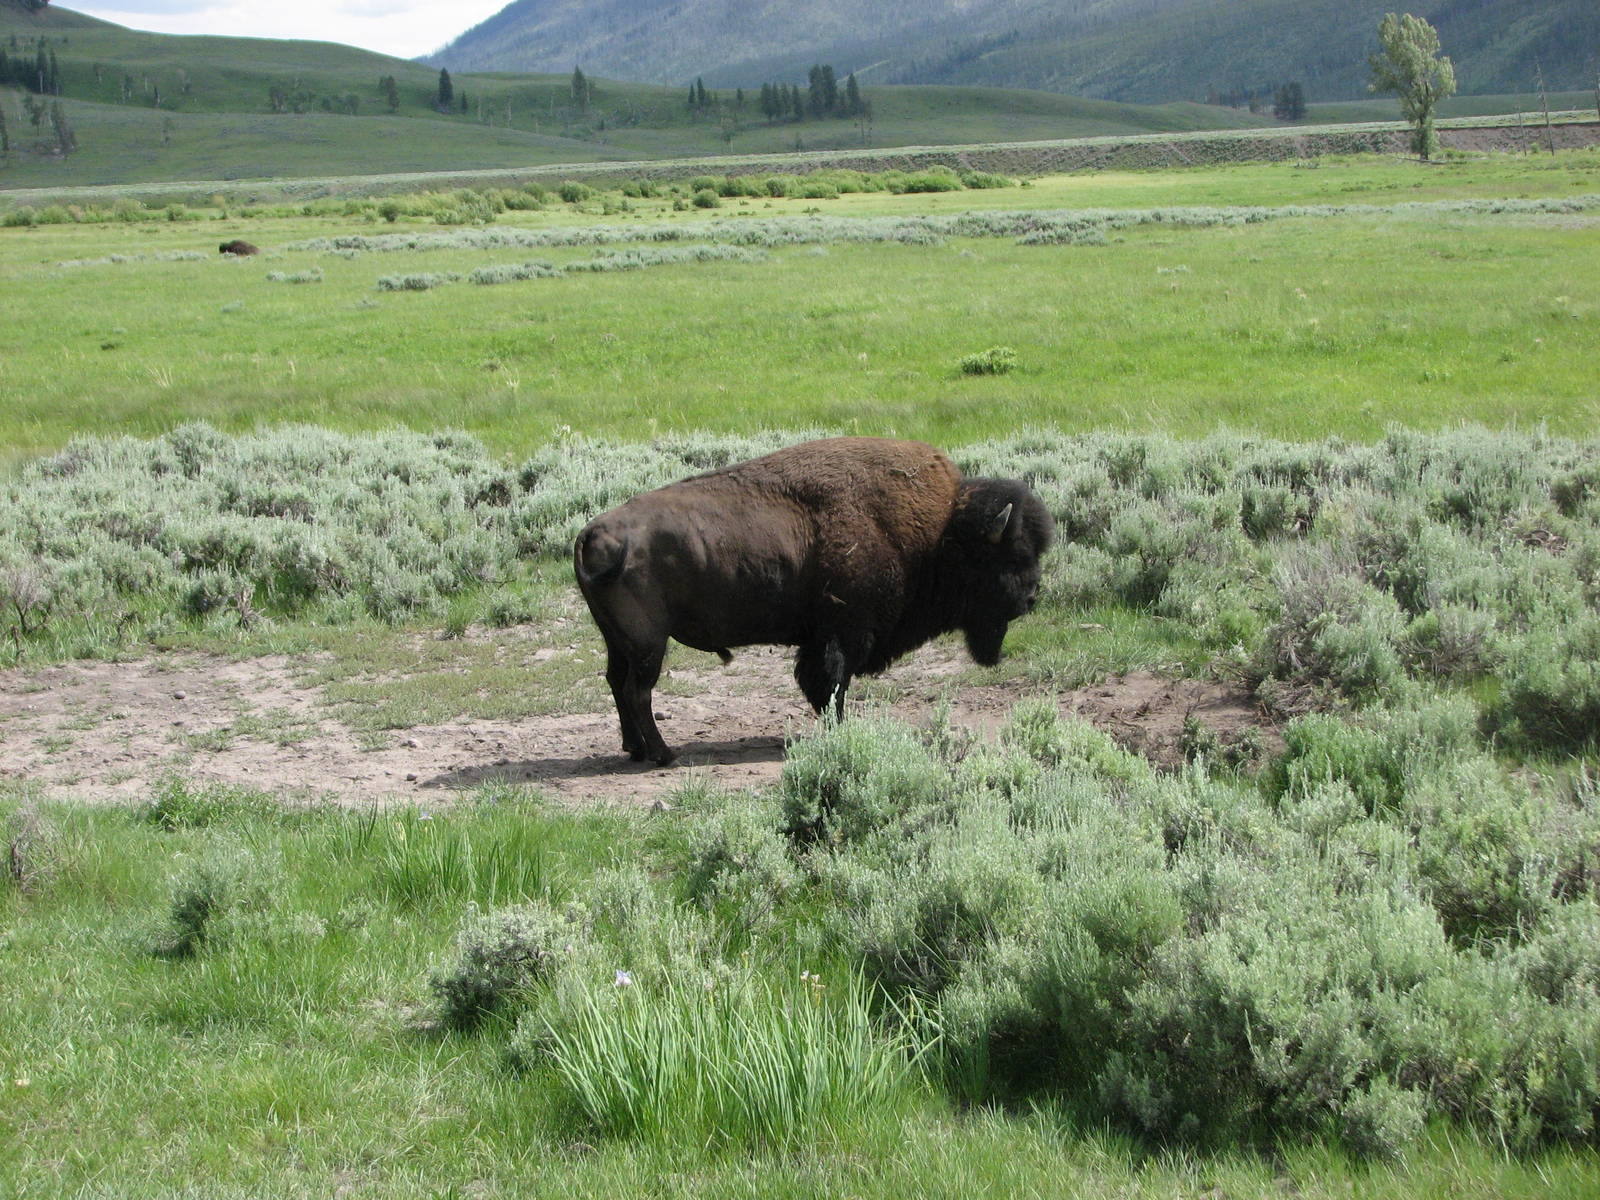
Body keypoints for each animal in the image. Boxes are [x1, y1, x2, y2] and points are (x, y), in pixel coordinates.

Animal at [574, 437, 1053, 765]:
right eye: (1010, 556)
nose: (1031, 597)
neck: (939, 533)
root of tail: (593, 532)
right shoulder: (842, 634)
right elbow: (831, 684)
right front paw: (838, 731)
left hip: (619, 640)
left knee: (616, 683)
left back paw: (635, 749)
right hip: (649, 643)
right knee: (638, 691)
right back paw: (663, 754)